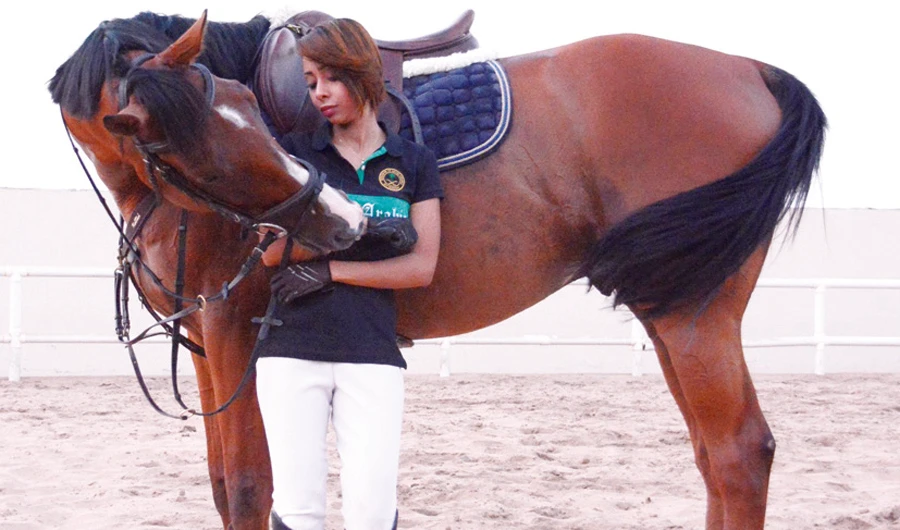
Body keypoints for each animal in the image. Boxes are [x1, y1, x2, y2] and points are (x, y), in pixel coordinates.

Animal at [51, 10, 826, 530]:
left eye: (248, 111)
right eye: (202, 158)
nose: (341, 222)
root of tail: (750, 69)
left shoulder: (232, 327)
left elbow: (246, 485)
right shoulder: (209, 343)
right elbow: (220, 483)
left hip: (695, 314)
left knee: (738, 453)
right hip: (666, 309)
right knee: (714, 459)